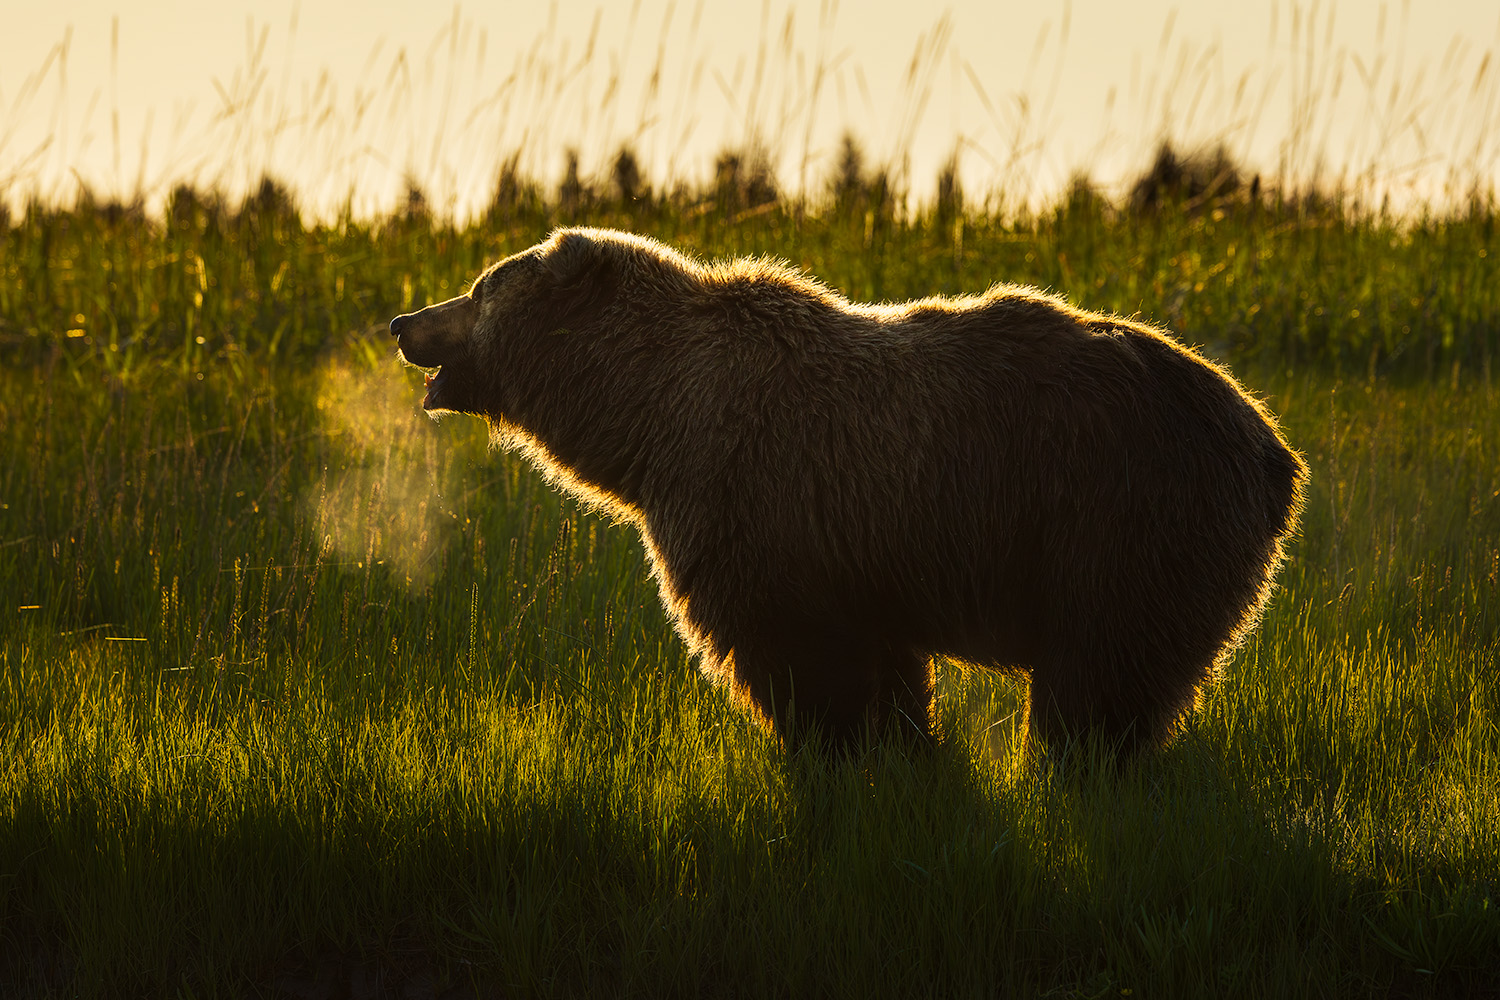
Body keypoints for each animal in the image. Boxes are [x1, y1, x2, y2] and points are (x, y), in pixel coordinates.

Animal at [389, 227, 1306, 757]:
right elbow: (883, 665)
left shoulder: (759, 498)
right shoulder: (860, 552)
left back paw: (1078, 758)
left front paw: (830, 747)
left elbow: (796, 650)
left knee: (1101, 672)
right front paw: (899, 748)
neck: (648, 419)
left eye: (480, 287)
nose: (404, 322)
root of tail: (1272, 448)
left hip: (1120, 514)